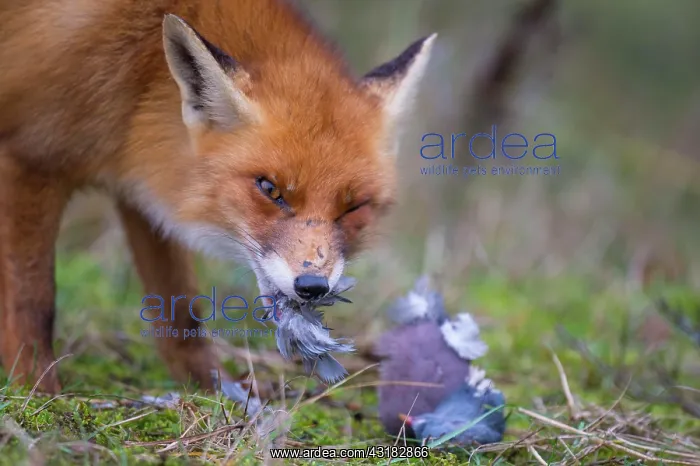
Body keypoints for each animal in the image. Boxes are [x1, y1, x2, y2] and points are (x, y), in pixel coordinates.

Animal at [0, 0, 436, 393]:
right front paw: (35, 390)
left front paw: (211, 388)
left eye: (354, 206)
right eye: (270, 189)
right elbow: (33, 299)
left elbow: (179, 309)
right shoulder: (29, 159)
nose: (312, 286)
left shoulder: (146, 190)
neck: (139, 72)